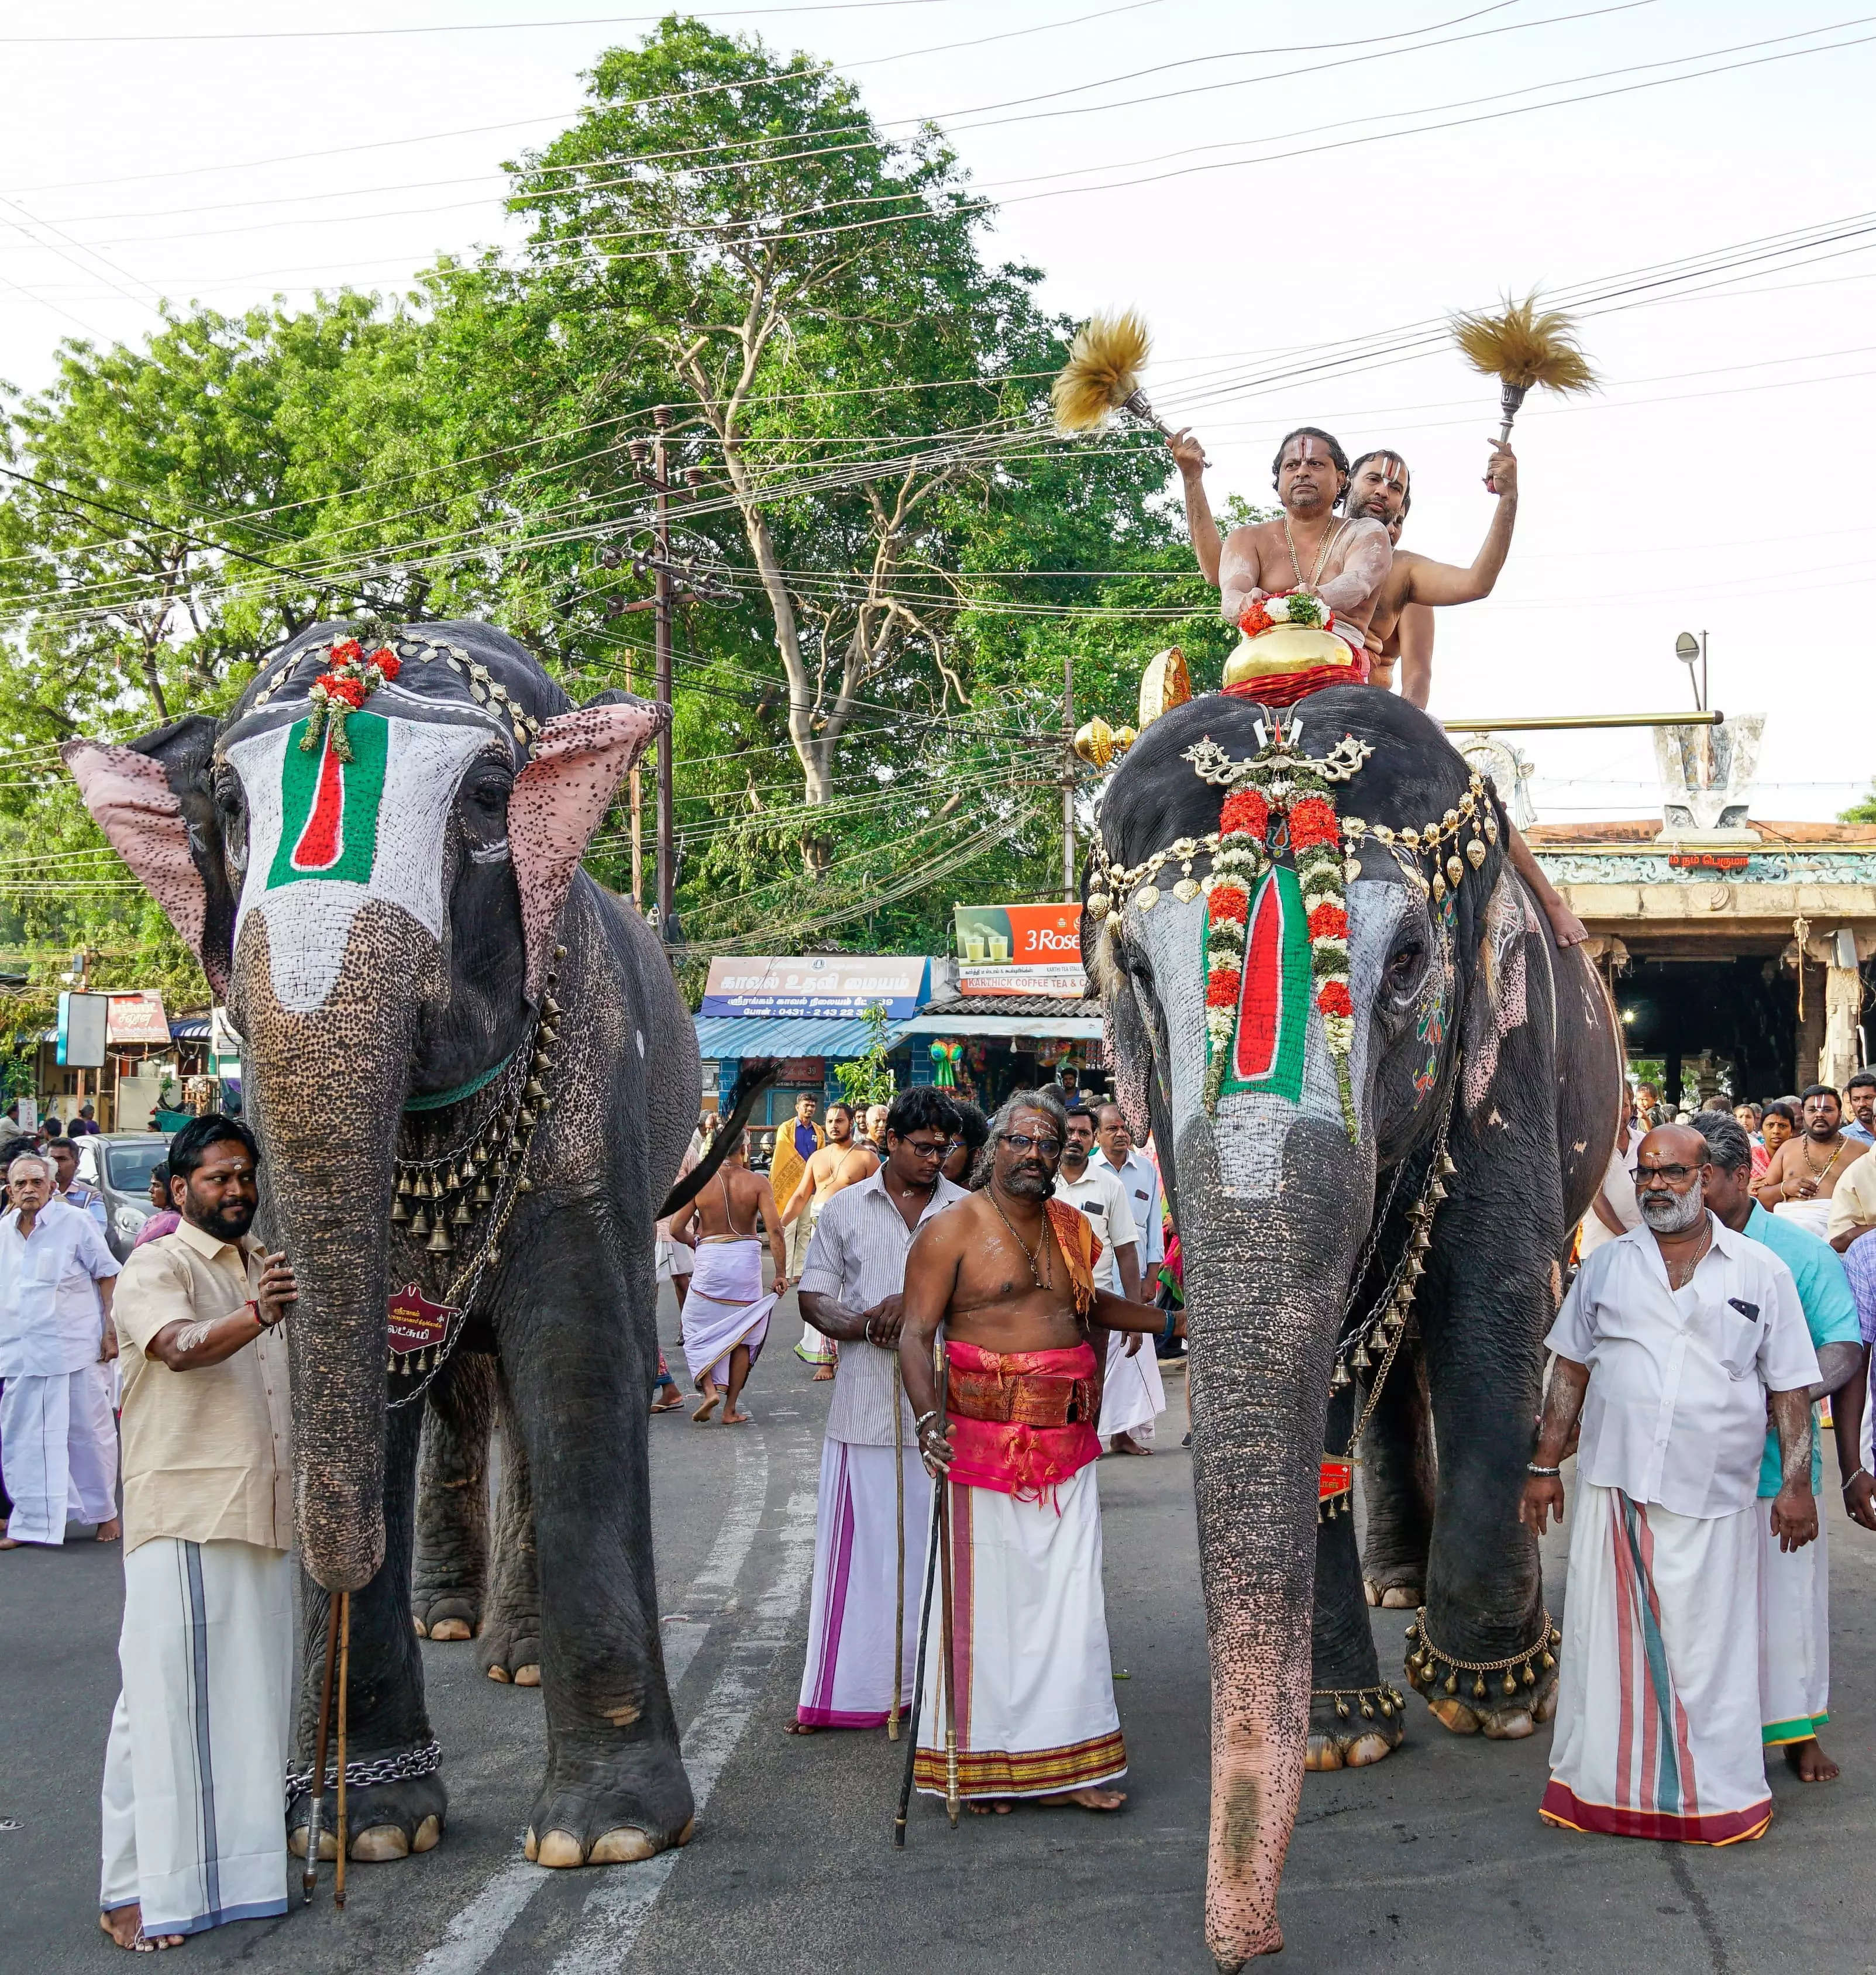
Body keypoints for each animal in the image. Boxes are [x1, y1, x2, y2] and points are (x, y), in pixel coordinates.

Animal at [66, 616, 707, 1864]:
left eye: (492, 797)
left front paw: (605, 1838)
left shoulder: (590, 1085)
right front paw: (358, 1830)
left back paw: (512, 1656)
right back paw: (457, 1629)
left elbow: (582, 1362)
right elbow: (341, 1366)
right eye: (226, 801)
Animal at [1097, 687, 1619, 1967]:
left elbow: (1490, 1304)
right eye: (1132, 964)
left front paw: (1493, 1700)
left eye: (1413, 960)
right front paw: (1344, 1731)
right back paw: (1394, 1587)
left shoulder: (1508, 1052)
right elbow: (1328, 1351)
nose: (1246, 1942)